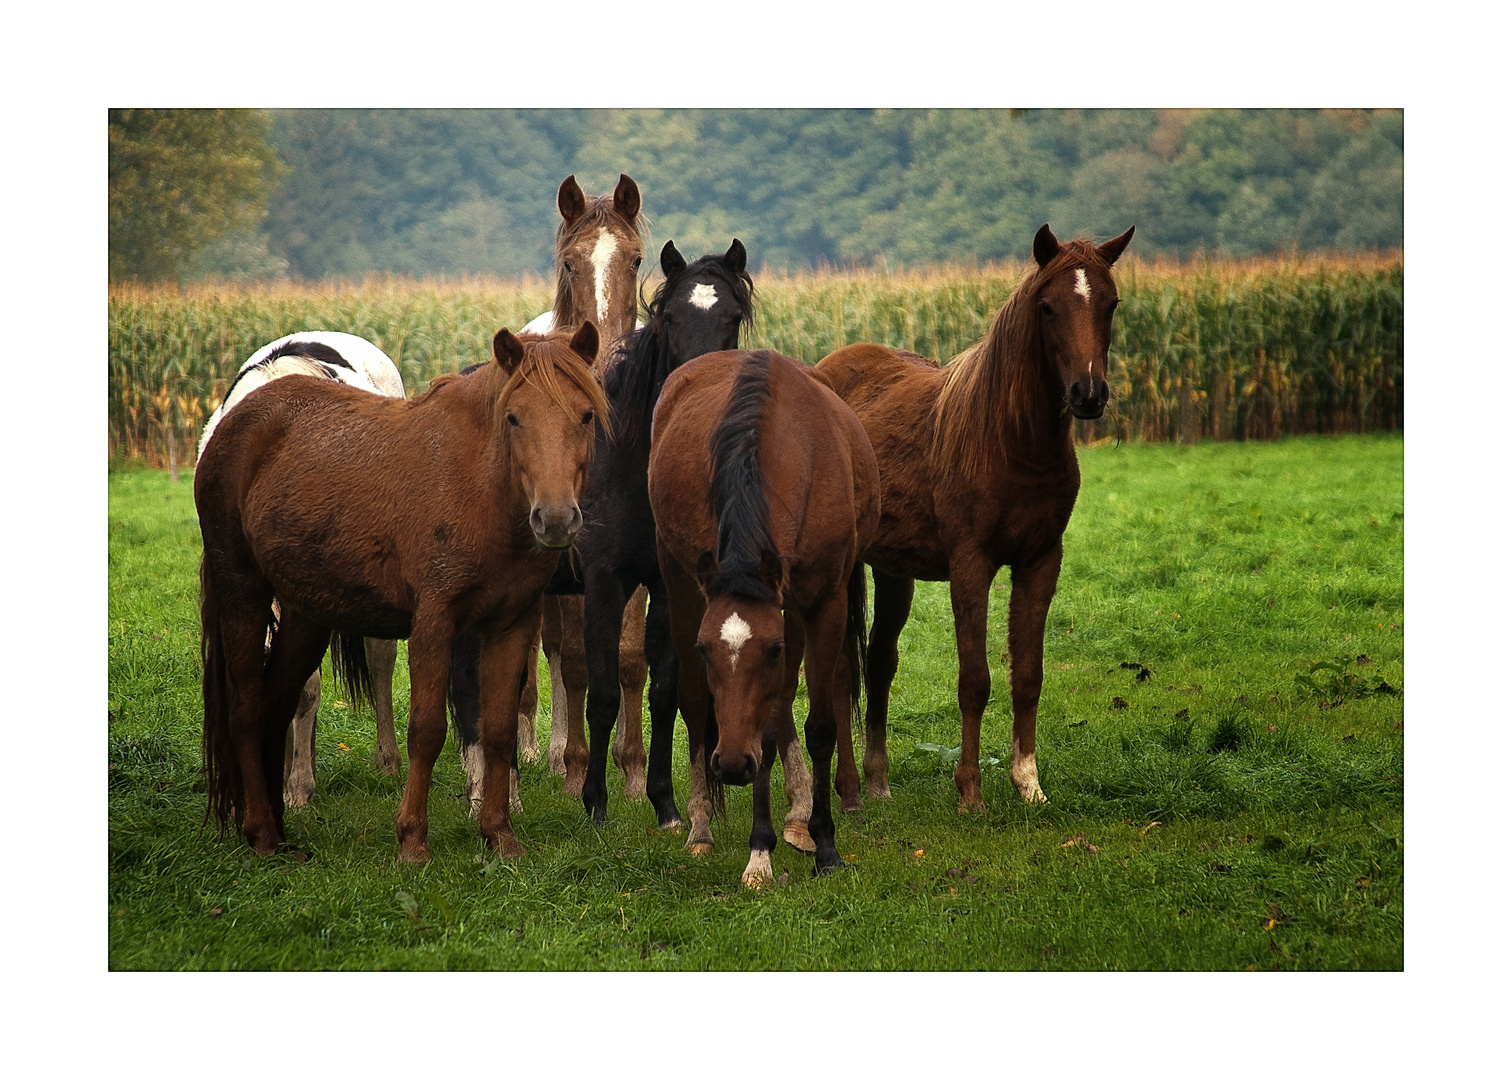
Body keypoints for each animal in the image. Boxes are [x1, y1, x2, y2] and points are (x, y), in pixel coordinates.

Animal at [647, 349, 883, 877]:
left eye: (771, 650)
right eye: (704, 649)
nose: (733, 765)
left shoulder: (821, 603)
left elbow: (816, 726)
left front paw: (824, 843)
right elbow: (759, 727)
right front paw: (760, 852)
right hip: (680, 579)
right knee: (696, 703)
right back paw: (701, 826)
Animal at [816, 220, 1137, 810]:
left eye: (1111, 302)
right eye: (1048, 307)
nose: (1088, 394)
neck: (1011, 439)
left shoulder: (1040, 562)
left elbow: (1027, 675)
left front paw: (1029, 782)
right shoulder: (971, 566)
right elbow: (974, 679)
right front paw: (970, 792)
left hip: (892, 570)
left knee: (878, 664)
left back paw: (878, 782)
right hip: (845, 568)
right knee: (843, 670)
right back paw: (848, 791)